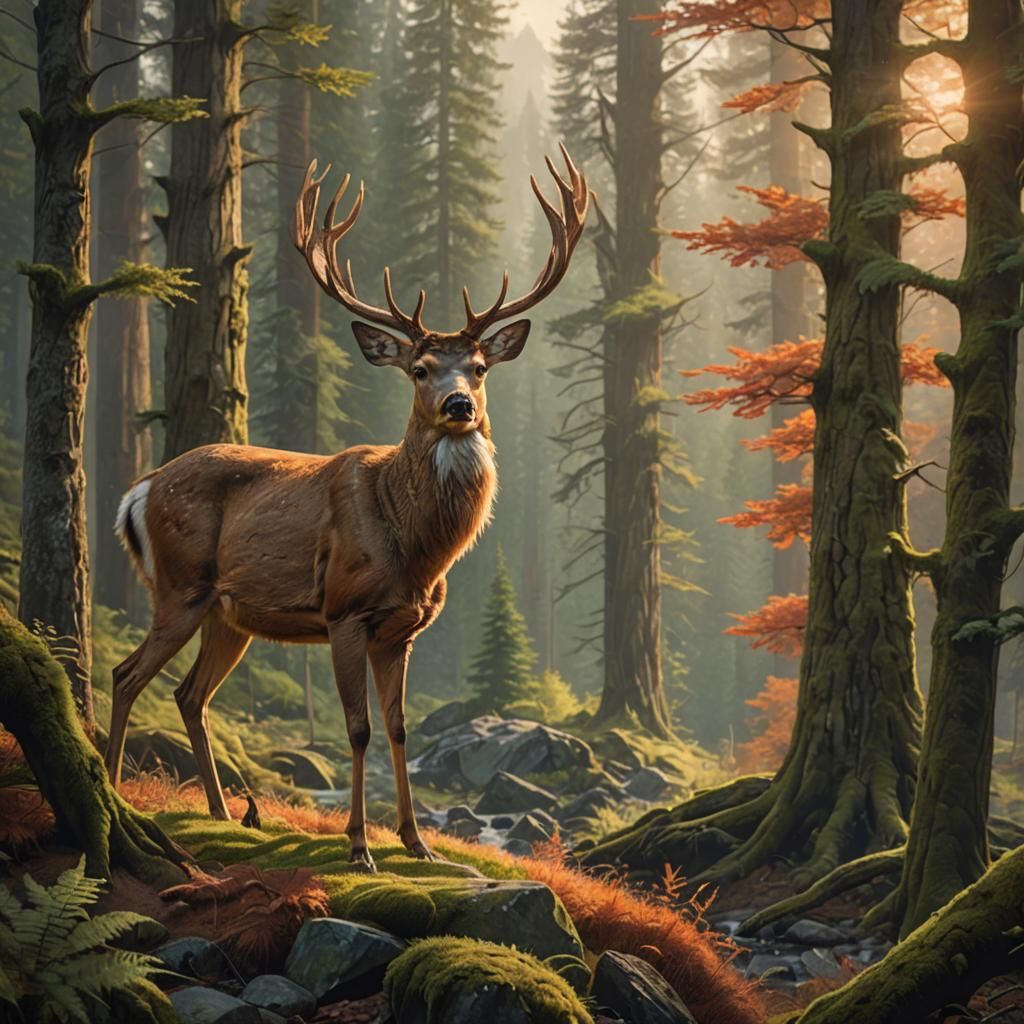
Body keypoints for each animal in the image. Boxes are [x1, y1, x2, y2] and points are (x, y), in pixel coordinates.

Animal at [104, 146, 590, 871]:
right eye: (419, 369)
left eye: (478, 367)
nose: (458, 406)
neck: (415, 546)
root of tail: (141, 488)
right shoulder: (343, 611)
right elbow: (357, 729)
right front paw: (360, 845)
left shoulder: (402, 629)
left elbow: (399, 727)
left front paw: (418, 843)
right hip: (180, 585)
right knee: (125, 674)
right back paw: (110, 787)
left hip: (229, 615)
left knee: (189, 694)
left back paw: (221, 811)